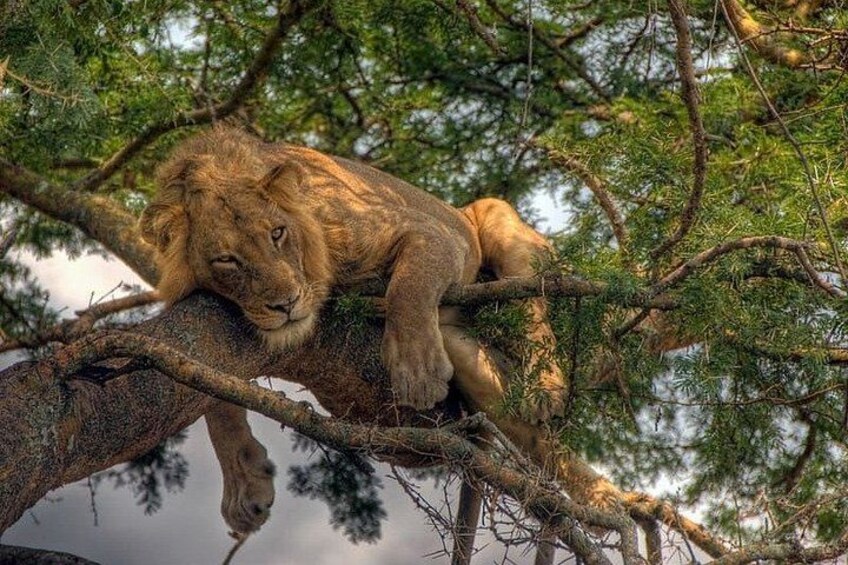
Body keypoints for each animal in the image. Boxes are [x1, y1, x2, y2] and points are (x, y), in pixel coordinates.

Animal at [139, 126, 566, 533]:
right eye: (226, 260)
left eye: (277, 233)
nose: (286, 303)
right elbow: (212, 398)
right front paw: (245, 485)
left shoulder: (426, 230)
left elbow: (409, 287)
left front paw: (418, 373)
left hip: (500, 225)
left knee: (534, 310)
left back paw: (546, 391)